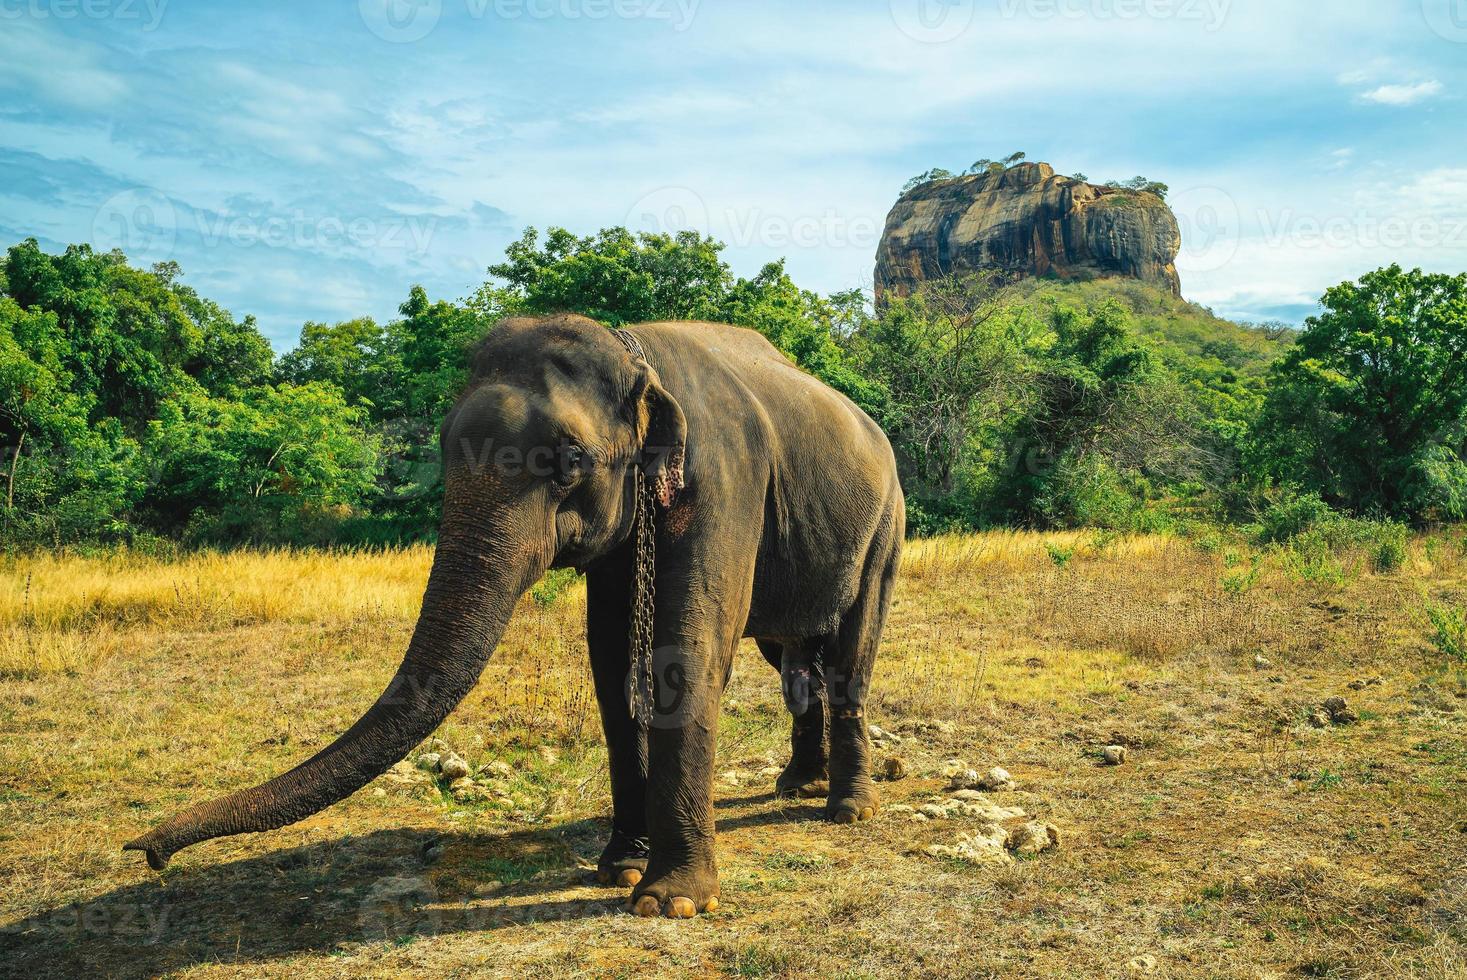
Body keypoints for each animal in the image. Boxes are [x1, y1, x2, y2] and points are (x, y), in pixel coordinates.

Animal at [126, 313, 903, 921]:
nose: (146, 850)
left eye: (569, 459)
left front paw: (671, 902)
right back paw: (798, 784)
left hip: (884, 531)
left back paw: (847, 808)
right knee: (793, 657)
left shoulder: (724, 485)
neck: (635, 353)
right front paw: (618, 869)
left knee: (850, 655)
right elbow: (610, 662)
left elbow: (684, 656)